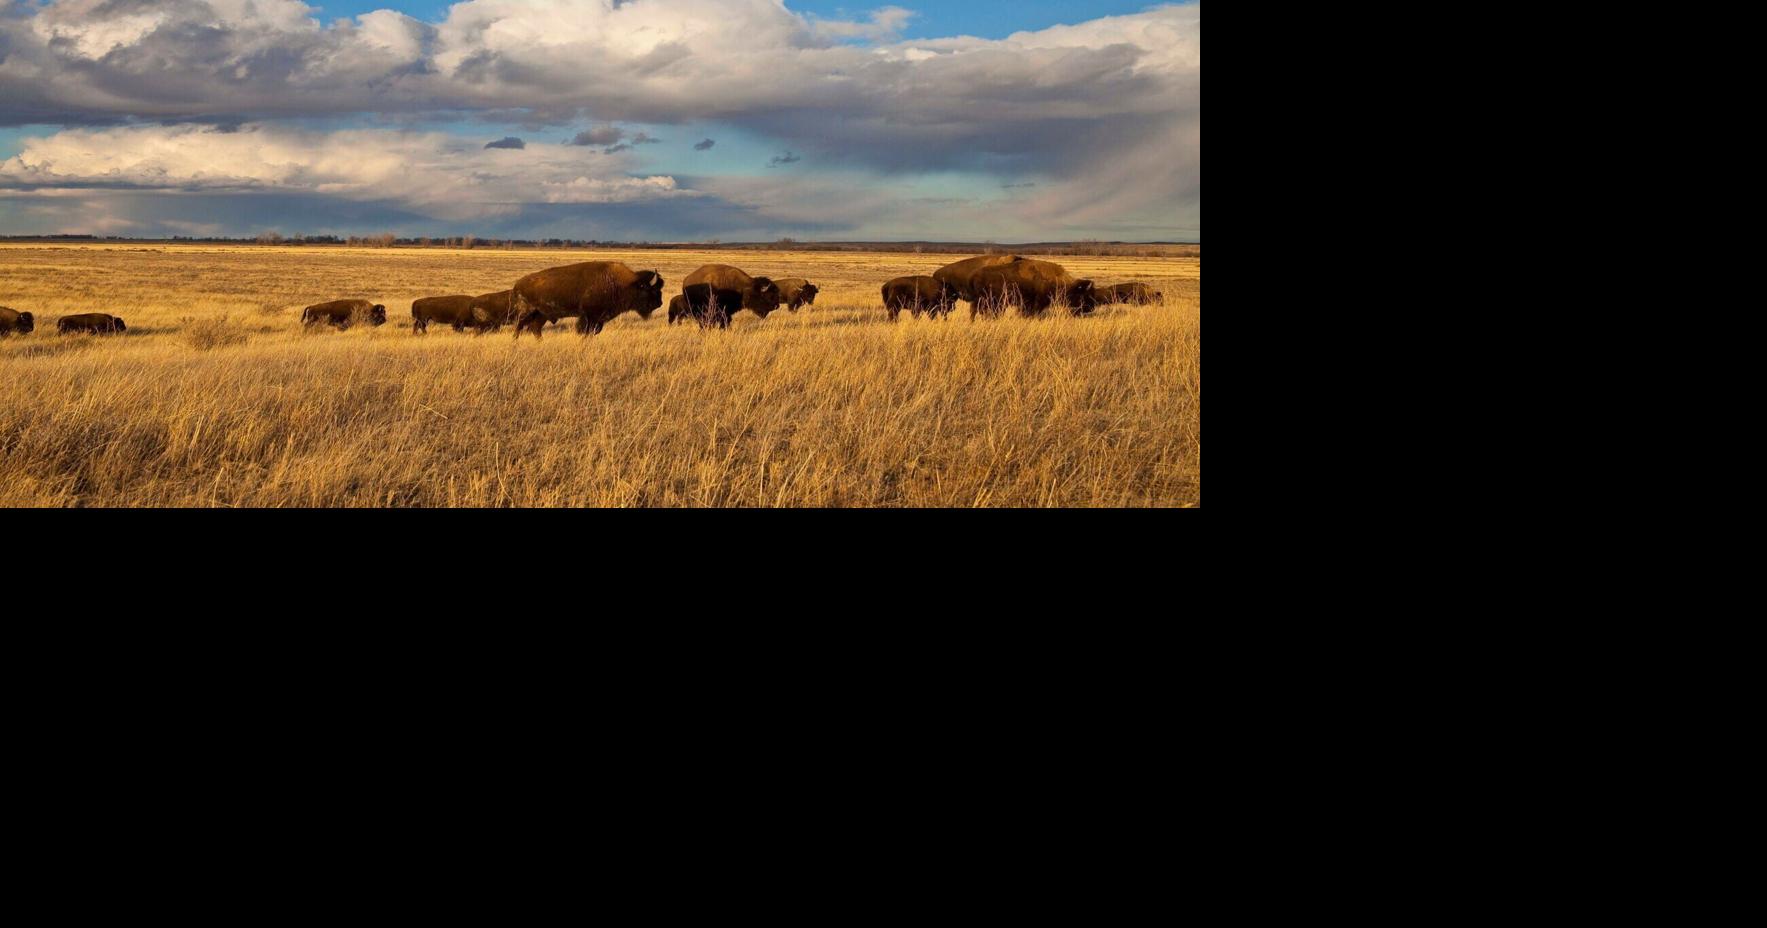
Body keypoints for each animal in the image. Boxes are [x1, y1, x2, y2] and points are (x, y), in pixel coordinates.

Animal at [512, 262, 665, 339]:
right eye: (650, 289)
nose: (660, 303)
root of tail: (518, 284)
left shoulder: (598, 319)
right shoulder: (589, 316)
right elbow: (585, 331)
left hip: (541, 315)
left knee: (535, 329)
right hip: (526, 313)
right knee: (519, 327)